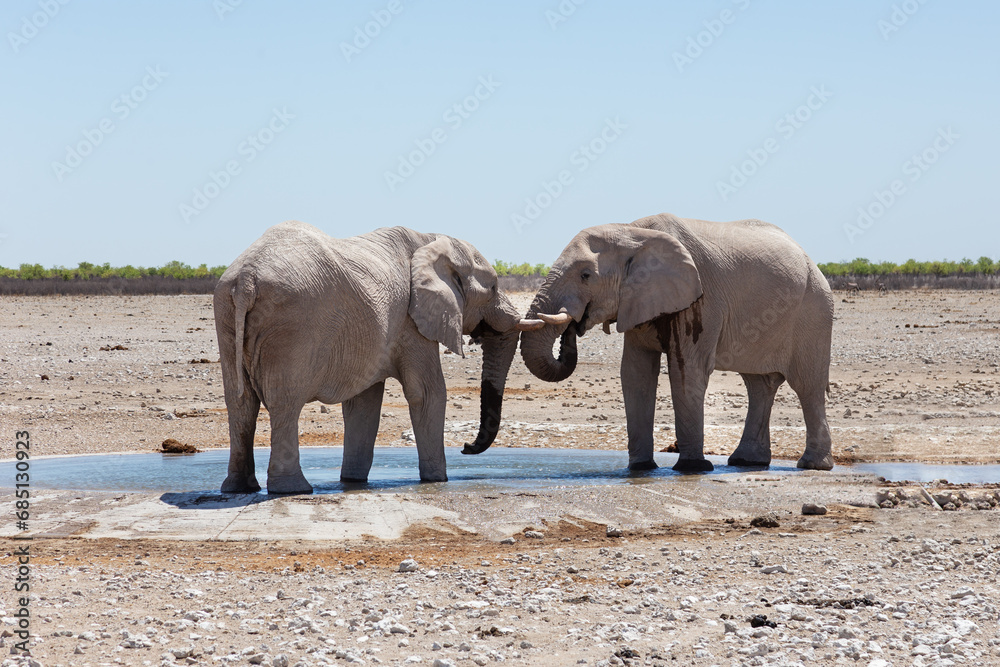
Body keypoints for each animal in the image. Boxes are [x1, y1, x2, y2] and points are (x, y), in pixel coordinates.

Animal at [213, 221, 538, 494]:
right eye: (493, 288)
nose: (466, 447)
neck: (432, 239)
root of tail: (246, 279)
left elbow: (363, 403)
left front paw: (352, 481)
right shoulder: (411, 321)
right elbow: (428, 392)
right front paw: (437, 481)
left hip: (226, 315)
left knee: (240, 405)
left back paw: (240, 488)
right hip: (291, 326)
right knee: (285, 404)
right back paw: (293, 490)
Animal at [515, 213, 834, 472]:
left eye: (585, 275)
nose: (573, 325)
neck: (631, 231)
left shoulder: (700, 299)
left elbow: (687, 370)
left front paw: (693, 469)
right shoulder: (638, 299)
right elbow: (635, 372)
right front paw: (641, 468)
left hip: (815, 309)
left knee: (807, 385)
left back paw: (813, 465)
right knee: (759, 384)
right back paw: (747, 462)